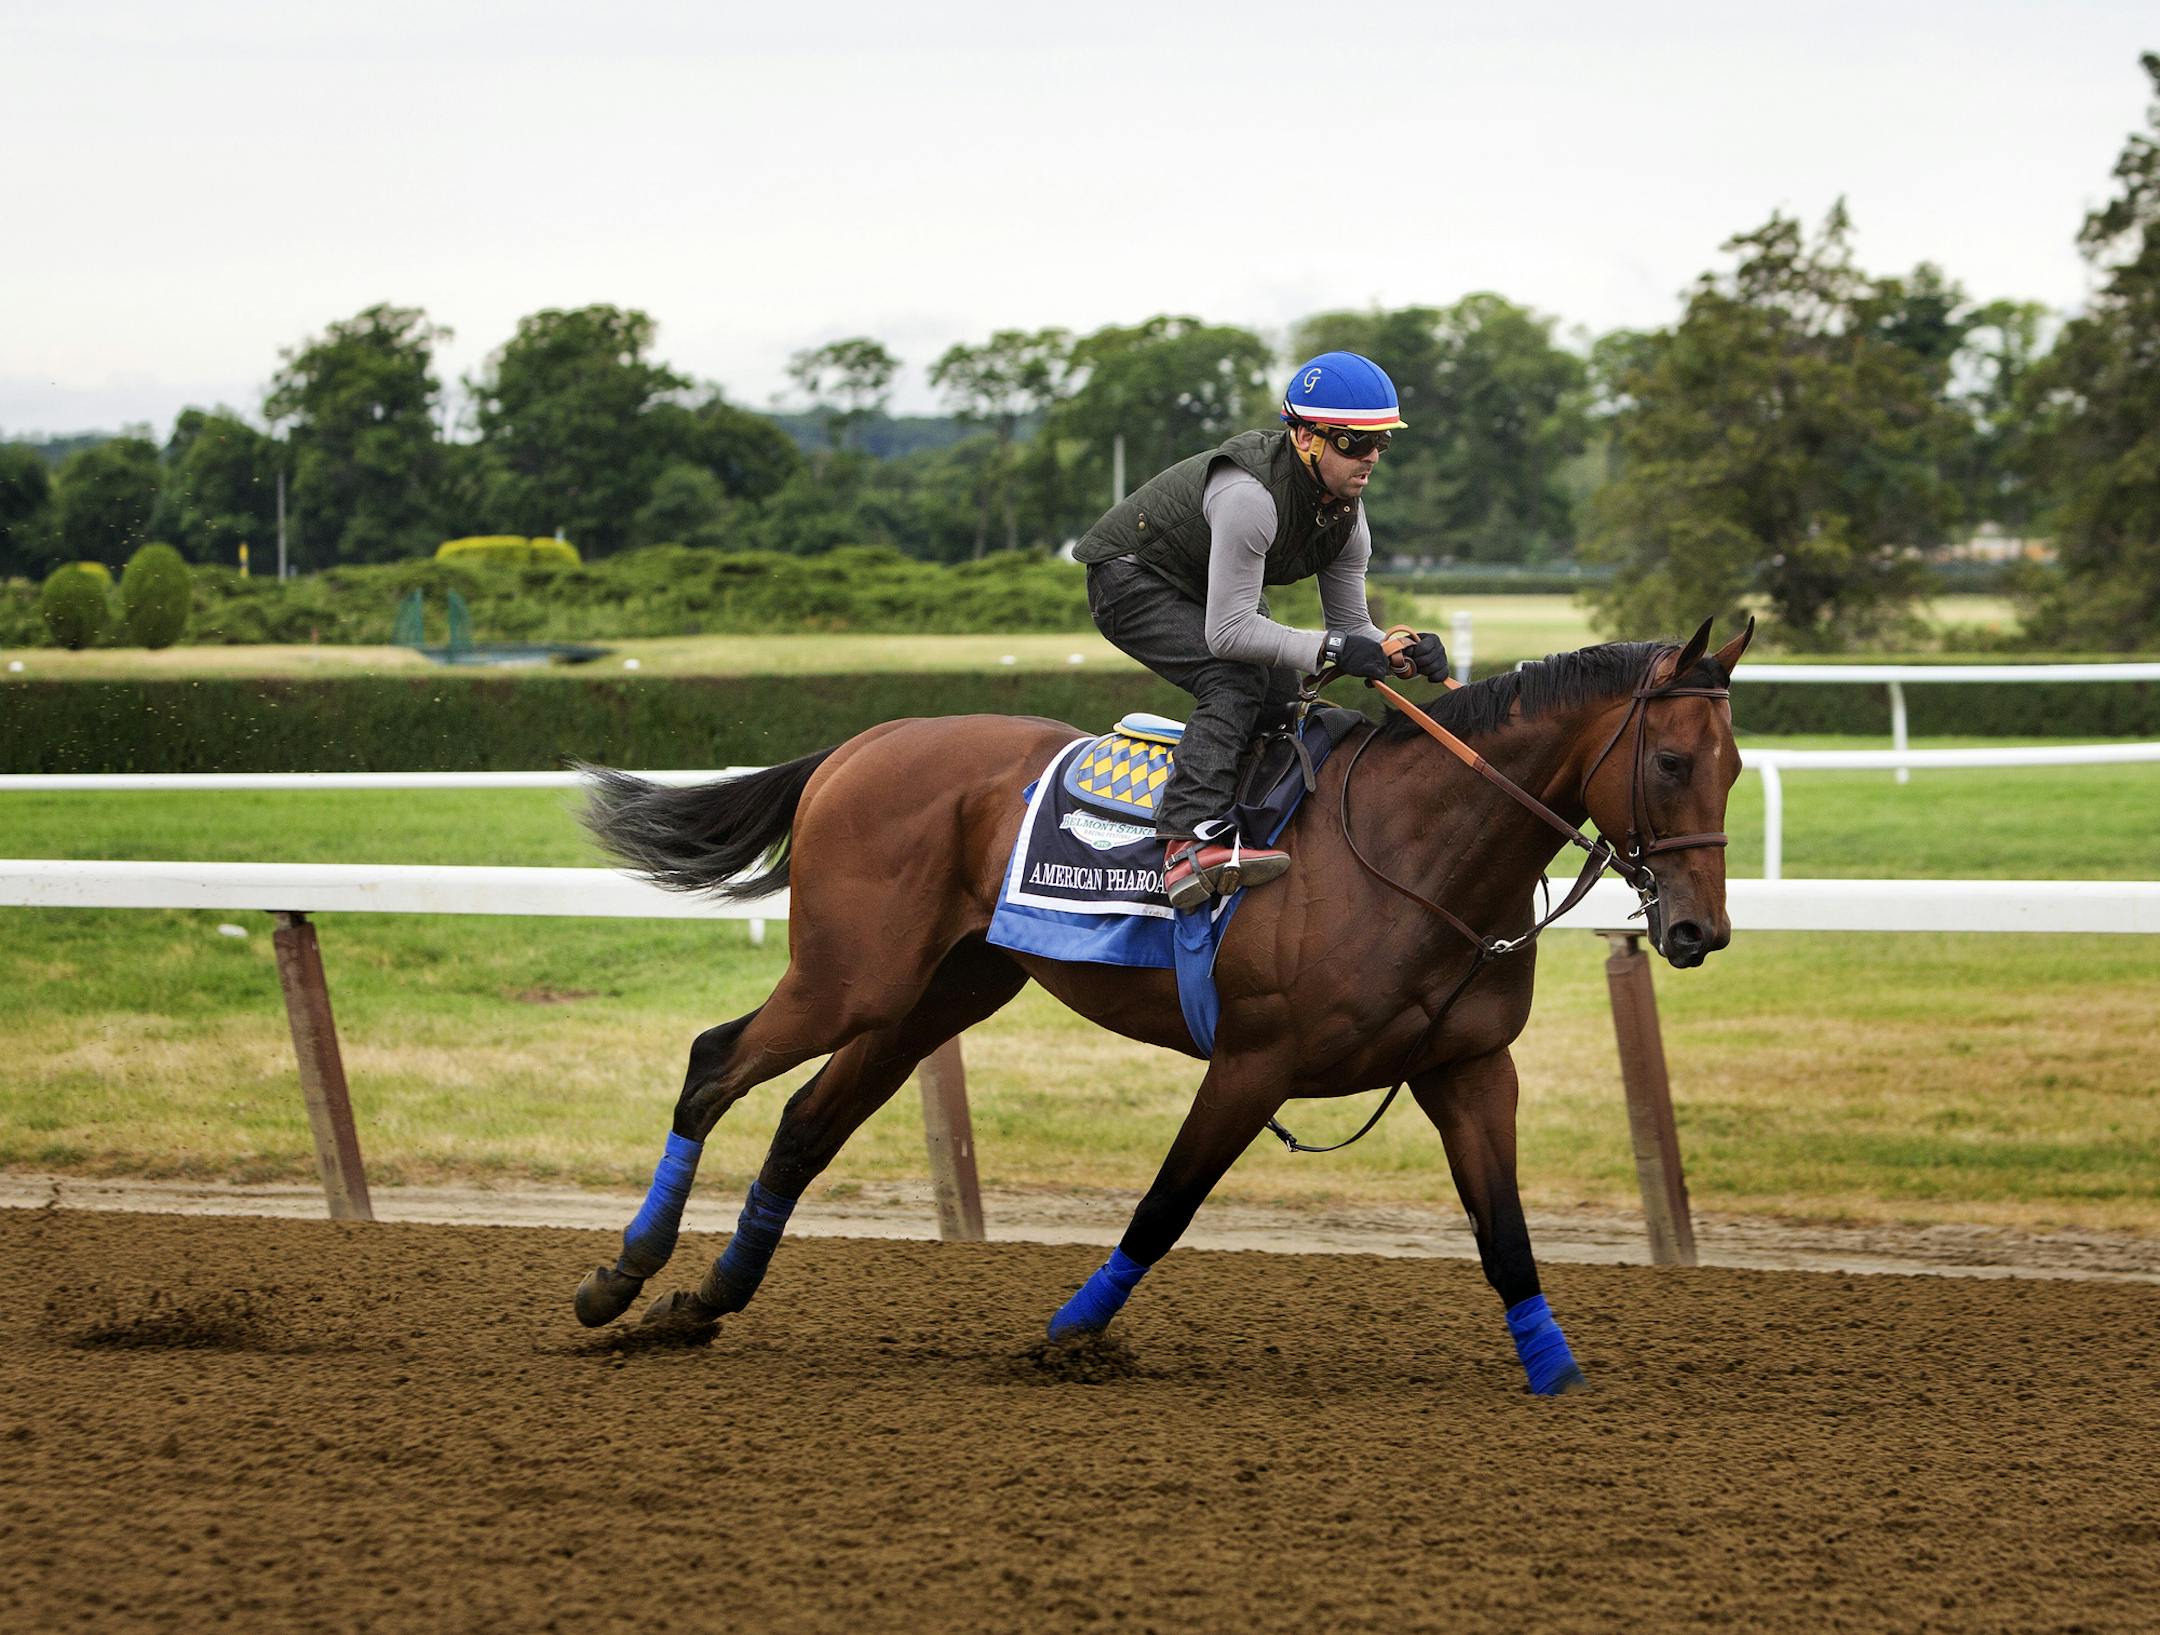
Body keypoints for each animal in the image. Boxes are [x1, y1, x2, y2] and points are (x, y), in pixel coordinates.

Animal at [570, 617, 1754, 1395]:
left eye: (1737, 767)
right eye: (1671, 759)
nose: (1699, 932)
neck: (1414, 855)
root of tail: (862, 743)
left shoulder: (1467, 1069)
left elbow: (1503, 1231)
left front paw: (1558, 1375)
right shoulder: (1255, 1063)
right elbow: (1166, 1204)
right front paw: (1067, 1335)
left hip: (931, 997)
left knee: (804, 1126)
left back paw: (703, 1300)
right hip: (847, 976)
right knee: (713, 1063)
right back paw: (621, 1276)